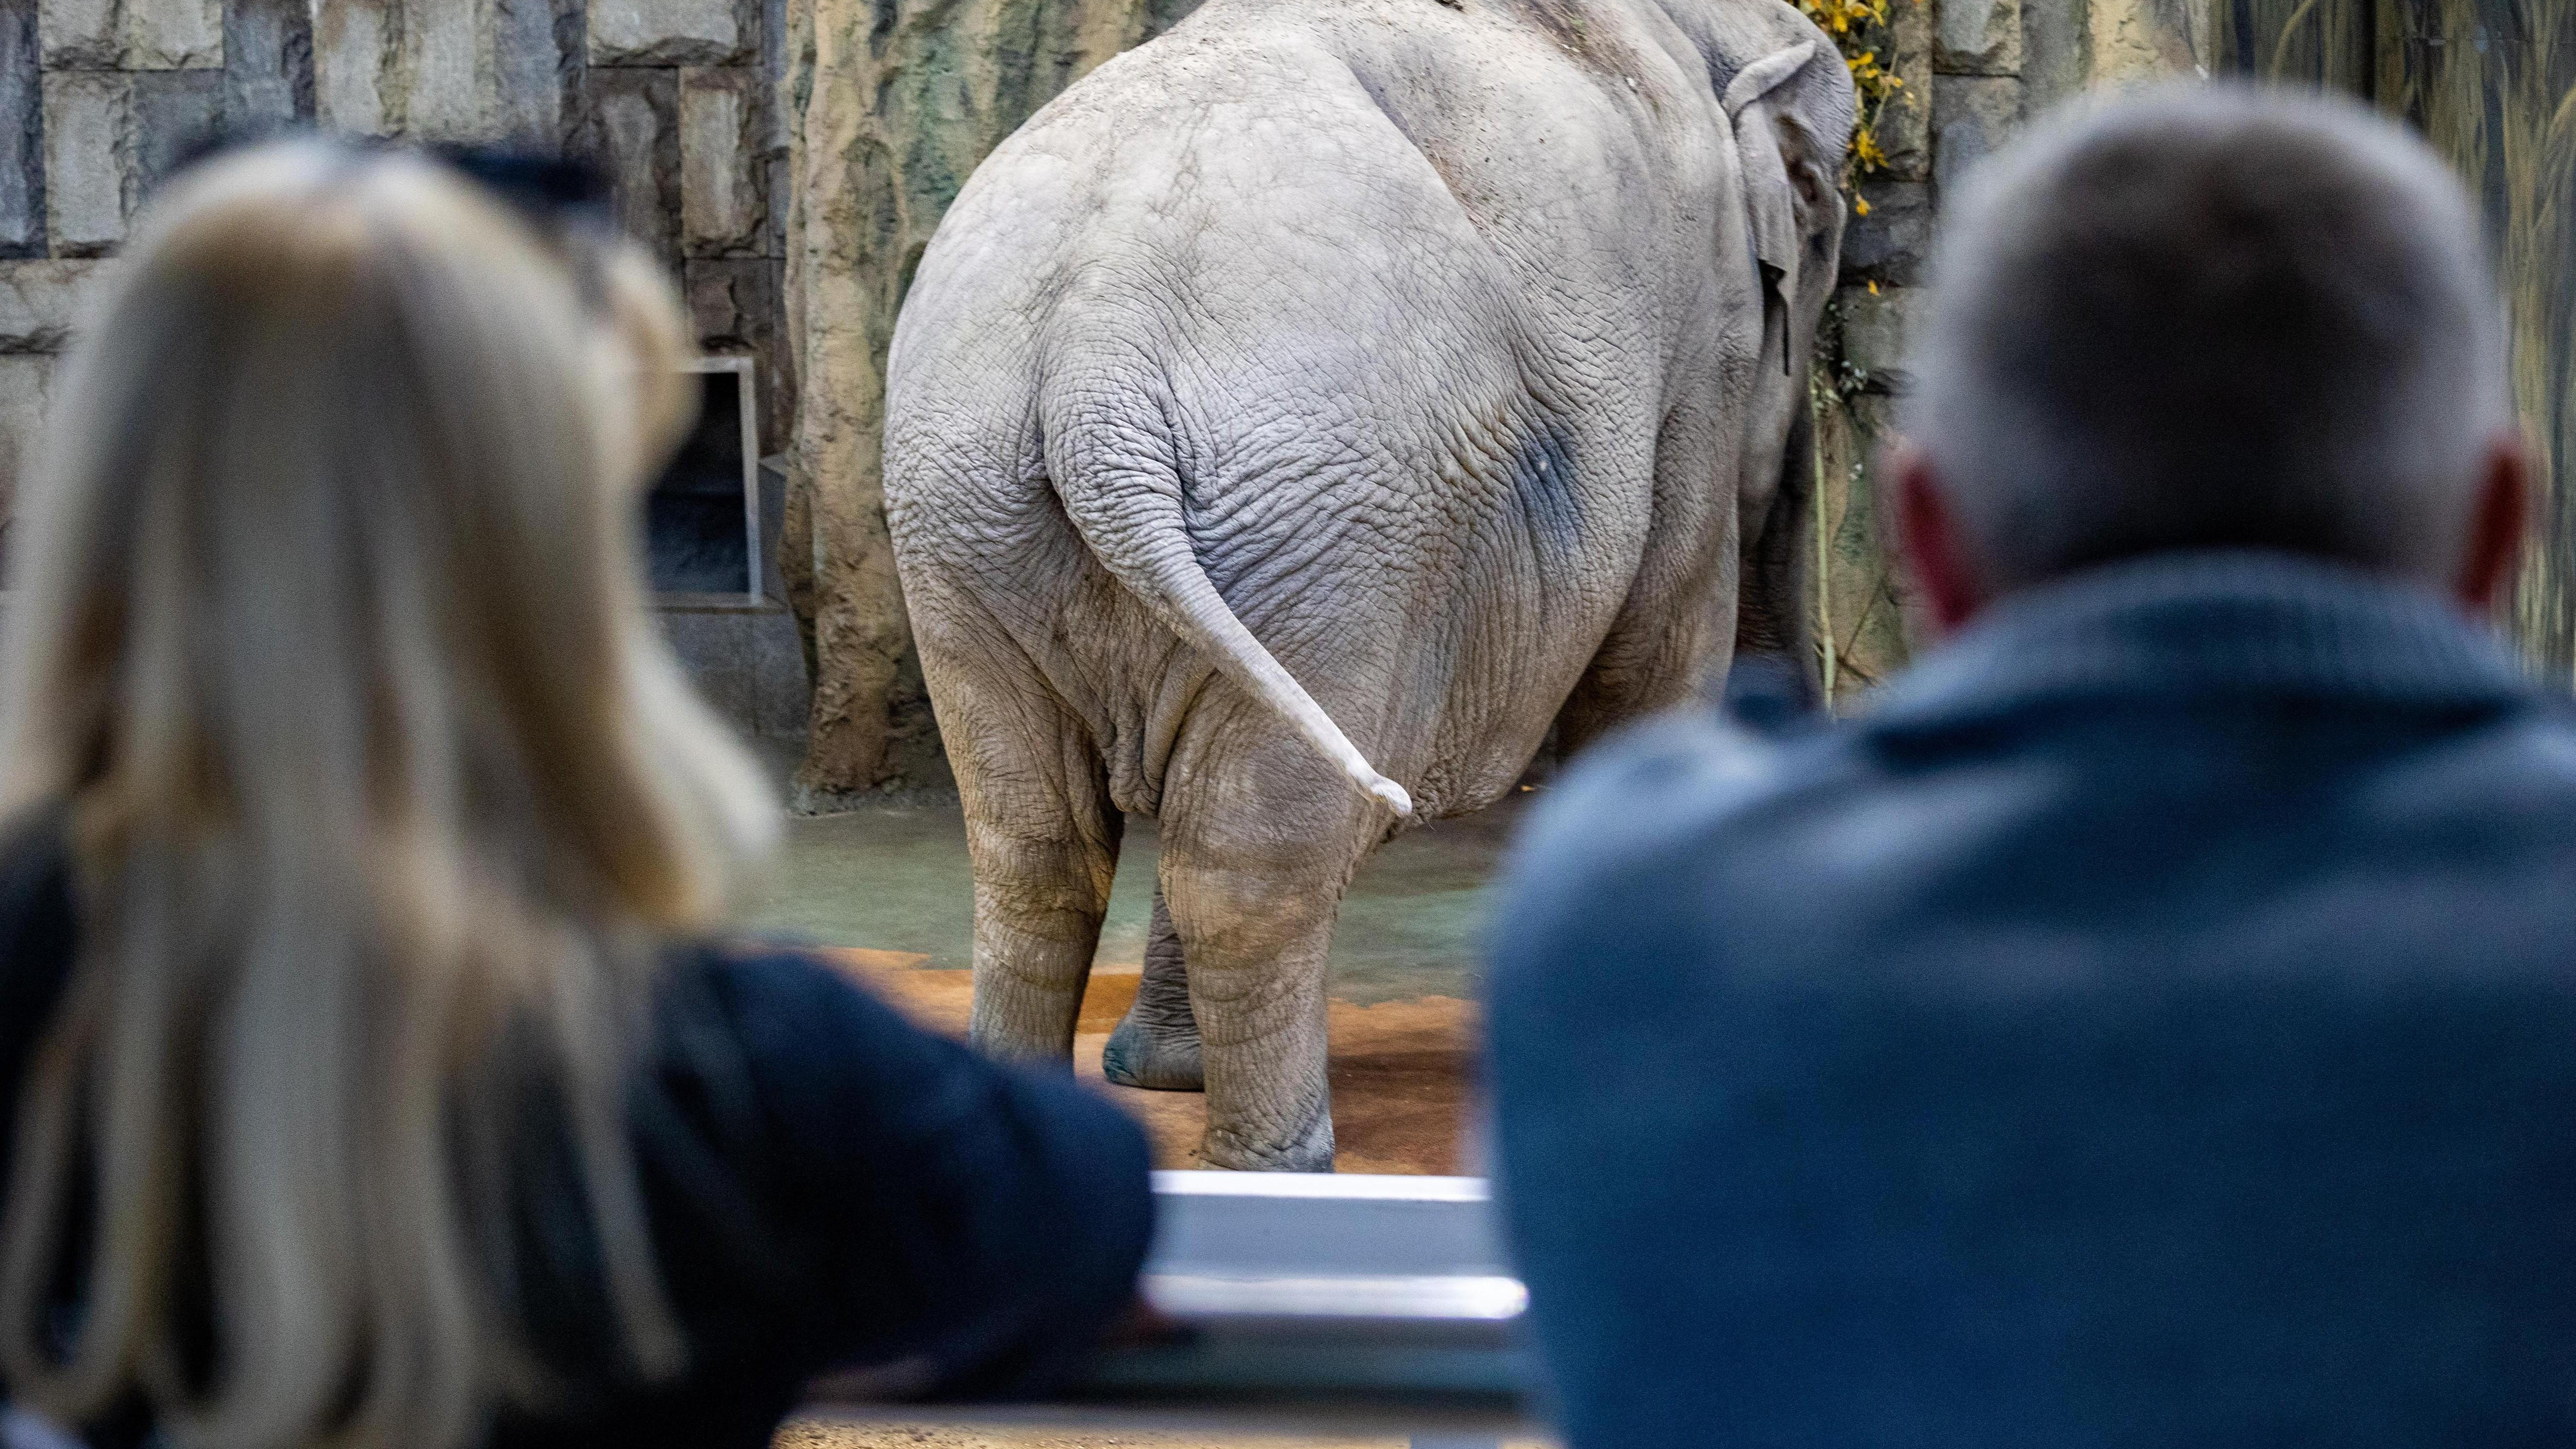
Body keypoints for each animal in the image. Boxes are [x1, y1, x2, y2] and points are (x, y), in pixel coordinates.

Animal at [886, 0, 1855, 1160]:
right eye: (1823, 224)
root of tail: (1095, 364)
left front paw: (1162, 1074)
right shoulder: (1701, 349)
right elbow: (1655, 658)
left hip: (977, 510)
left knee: (1042, 846)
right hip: (1329, 526)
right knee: (1247, 855)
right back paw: (1285, 1163)